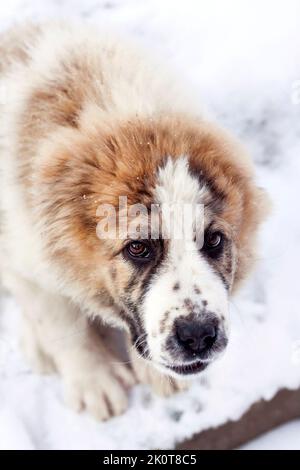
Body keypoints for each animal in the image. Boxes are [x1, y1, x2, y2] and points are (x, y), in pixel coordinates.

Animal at [0, 22, 268, 420]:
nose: (198, 336)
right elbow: (61, 326)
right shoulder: (27, 259)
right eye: (138, 247)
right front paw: (93, 382)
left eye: (214, 240)